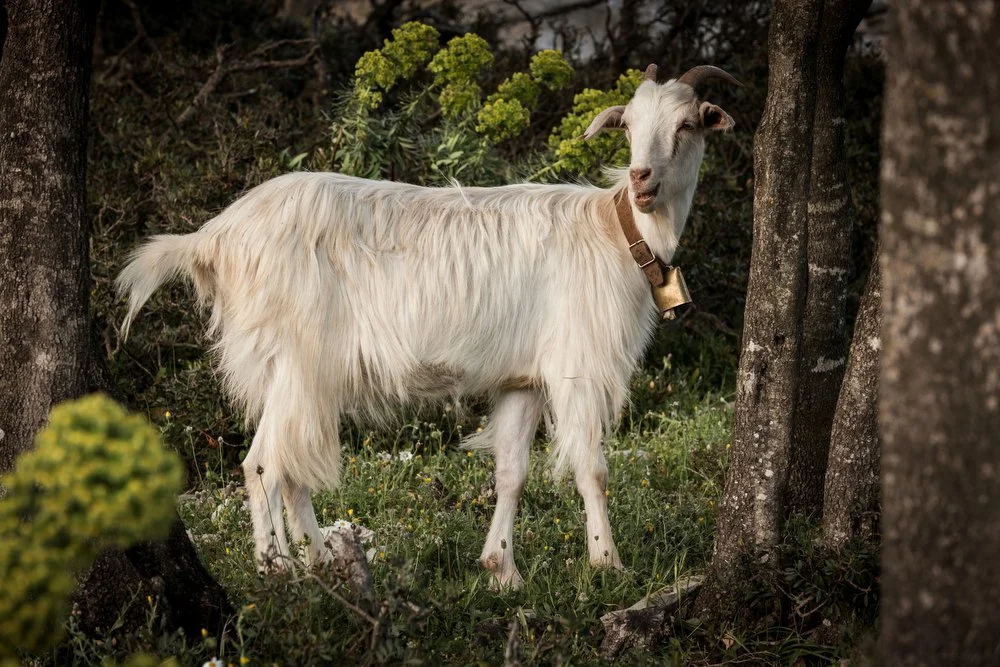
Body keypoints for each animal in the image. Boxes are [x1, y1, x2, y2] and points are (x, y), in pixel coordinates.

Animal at [117, 64, 739, 589]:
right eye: (628, 124)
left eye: (686, 124)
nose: (642, 179)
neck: (617, 234)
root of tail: (214, 236)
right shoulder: (577, 367)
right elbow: (593, 469)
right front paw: (608, 564)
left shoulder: (523, 380)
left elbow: (511, 472)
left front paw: (502, 571)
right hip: (297, 359)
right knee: (265, 463)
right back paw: (278, 569)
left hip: (296, 372)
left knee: (289, 466)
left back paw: (318, 561)